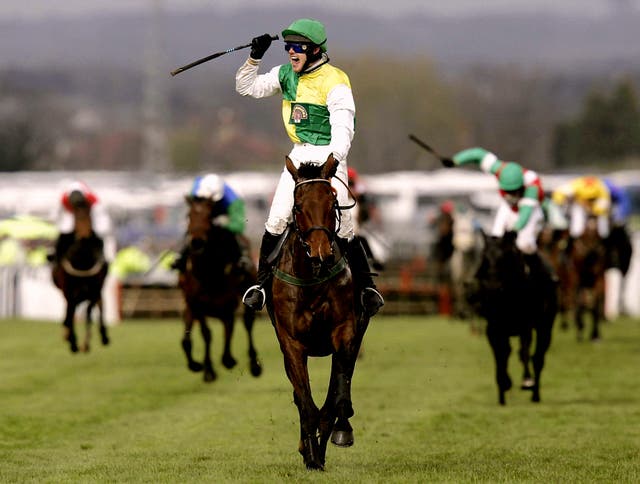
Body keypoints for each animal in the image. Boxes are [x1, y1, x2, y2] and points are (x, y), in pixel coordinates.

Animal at [51, 202, 109, 354]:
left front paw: (80, 343)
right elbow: (71, 313)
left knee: (96, 307)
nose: (85, 233)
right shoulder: (70, 292)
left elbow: (88, 312)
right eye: (76, 216)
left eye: (89, 213)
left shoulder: (93, 292)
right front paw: (73, 341)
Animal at [176, 196, 262, 382]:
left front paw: (224, 361)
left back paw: (252, 364)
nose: (197, 241)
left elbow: (231, 327)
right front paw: (207, 369)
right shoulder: (196, 304)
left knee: (247, 323)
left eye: (209, 216)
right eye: (188, 215)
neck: (208, 273)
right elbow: (206, 333)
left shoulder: (227, 302)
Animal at [264, 155, 364, 468]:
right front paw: (311, 455)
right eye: (297, 206)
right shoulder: (292, 343)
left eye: (332, 204)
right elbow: (305, 401)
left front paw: (336, 433)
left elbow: (337, 394)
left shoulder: (345, 333)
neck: (312, 278)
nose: (321, 253)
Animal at [470, 232, 556, 404]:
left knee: (537, 357)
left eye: (505, 257)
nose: (492, 287)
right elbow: (500, 354)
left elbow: (525, 352)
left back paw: (534, 393)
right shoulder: (493, 328)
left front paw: (527, 382)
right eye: (484, 258)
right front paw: (504, 385)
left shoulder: (526, 325)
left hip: (545, 326)